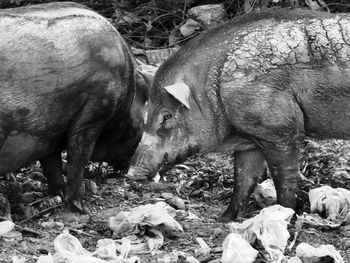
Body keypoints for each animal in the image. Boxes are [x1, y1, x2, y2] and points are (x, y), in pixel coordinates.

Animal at [0, 1, 149, 212]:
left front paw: (59, 195)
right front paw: (79, 206)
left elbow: (52, 163)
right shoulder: (95, 110)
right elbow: (78, 156)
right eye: (144, 124)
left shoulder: (50, 132)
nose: (131, 171)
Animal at [127, 8, 350, 222]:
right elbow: (243, 179)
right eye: (147, 113)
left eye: (167, 116)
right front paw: (223, 220)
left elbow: (284, 178)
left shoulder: (281, 130)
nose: (130, 174)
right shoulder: (250, 142)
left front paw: (284, 214)